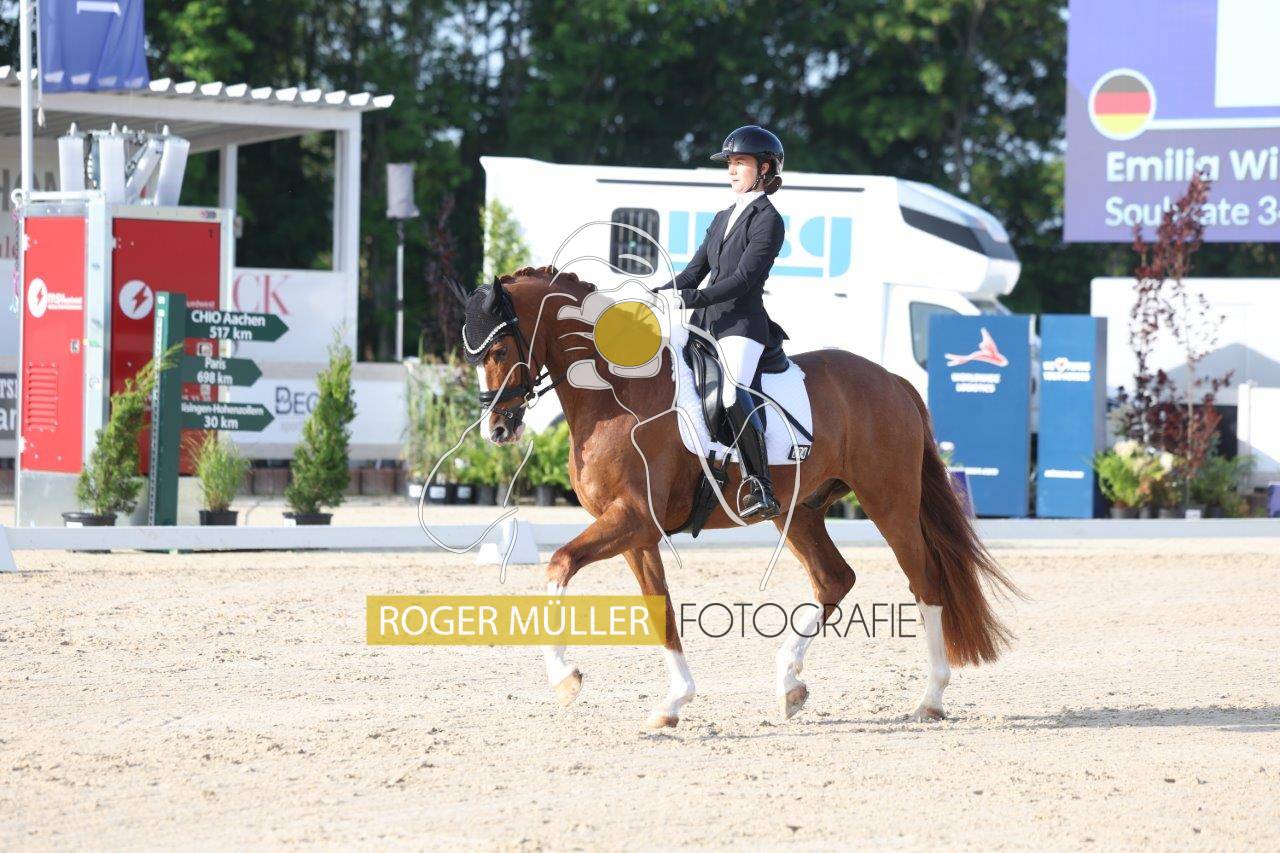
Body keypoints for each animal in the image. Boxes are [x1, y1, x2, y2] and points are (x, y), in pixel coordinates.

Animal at [453, 265, 1018, 730]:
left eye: (499, 351)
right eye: (472, 354)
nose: (497, 429)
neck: (618, 396)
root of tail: (894, 380)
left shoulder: (633, 519)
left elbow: (560, 564)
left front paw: (565, 679)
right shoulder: (638, 532)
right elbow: (659, 608)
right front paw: (673, 702)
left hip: (889, 503)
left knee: (925, 582)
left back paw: (930, 698)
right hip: (799, 512)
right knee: (834, 578)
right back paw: (790, 685)